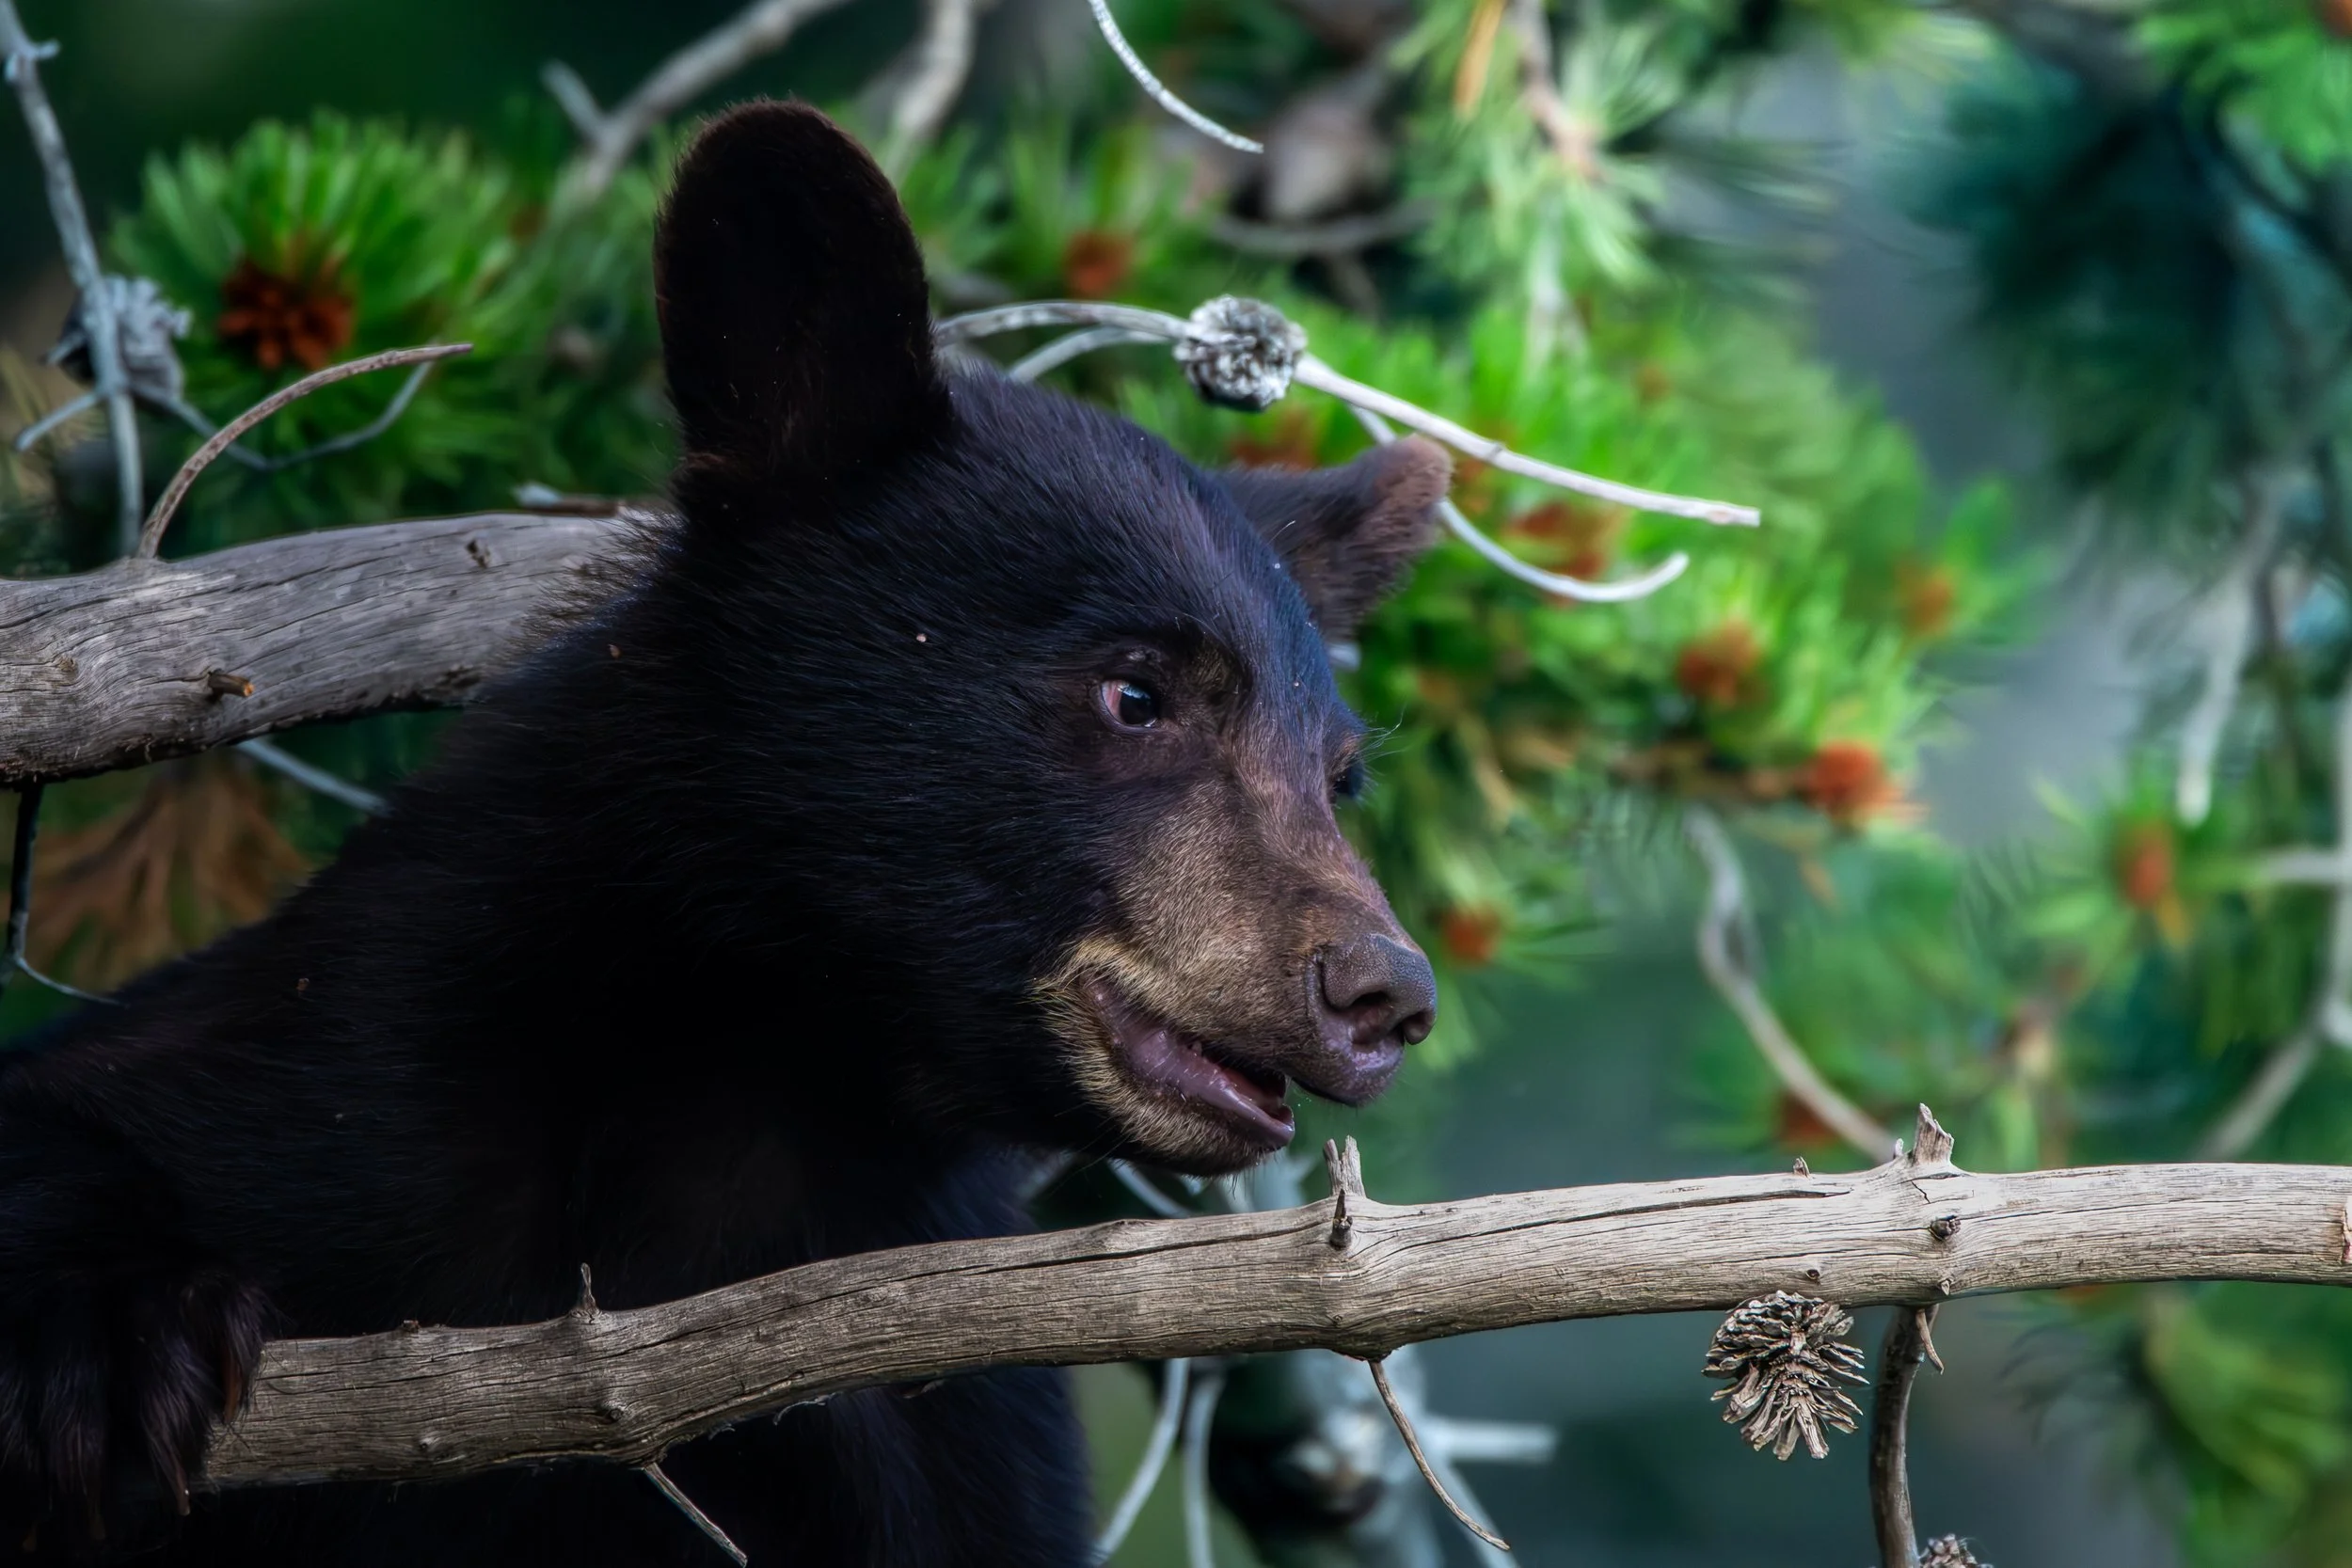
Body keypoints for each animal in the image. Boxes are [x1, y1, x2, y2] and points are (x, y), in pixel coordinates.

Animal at [0, 102, 1448, 1566]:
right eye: (1138, 691)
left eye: (1339, 776)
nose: (1383, 993)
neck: (764, 1085)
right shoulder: (335, 1074)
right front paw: (109, 1331)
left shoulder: (949, 1431)